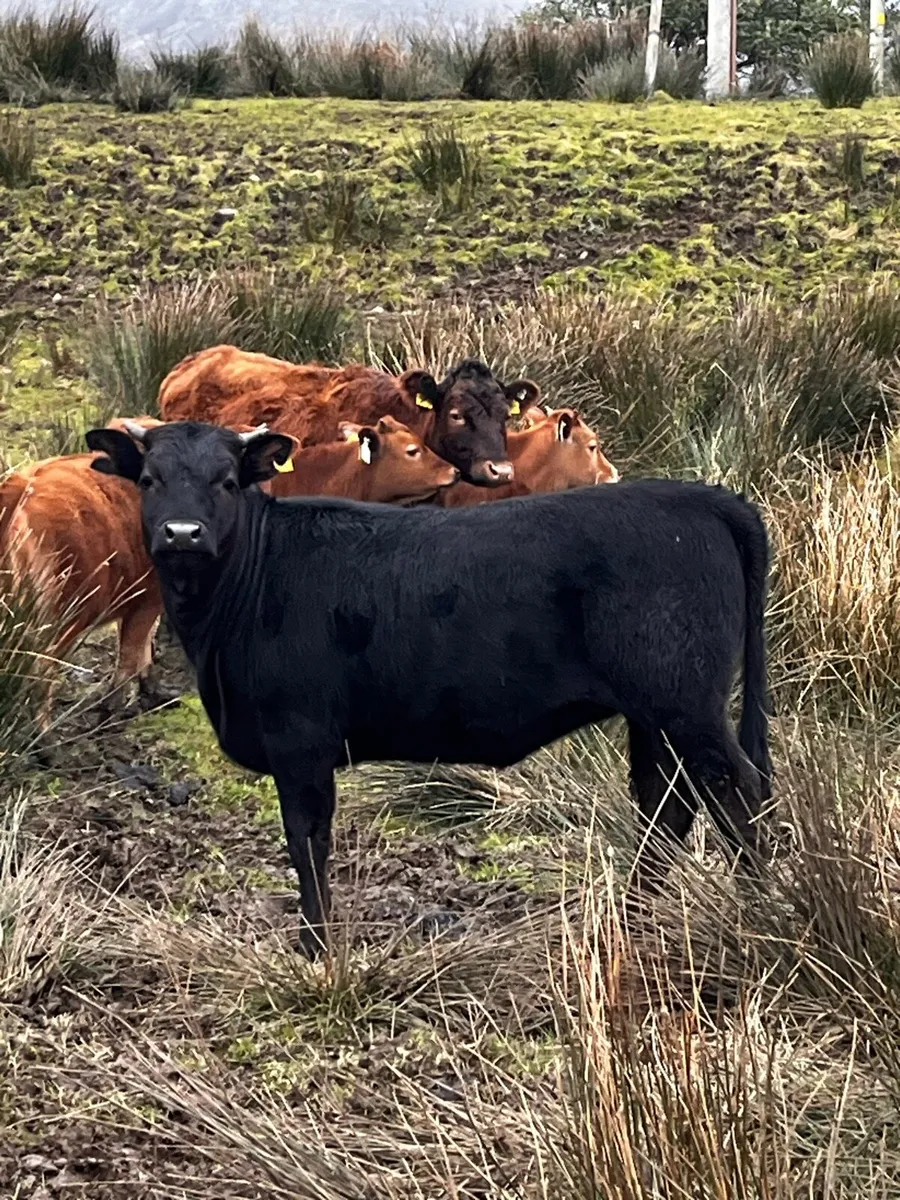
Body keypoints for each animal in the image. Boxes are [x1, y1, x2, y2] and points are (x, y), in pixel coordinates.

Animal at [86, 419, 773, 958]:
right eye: (149, 480)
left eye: (227, 481)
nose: (182, 533)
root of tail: (706, 499)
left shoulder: (299, 739)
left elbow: (307, 839)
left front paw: (315, 945)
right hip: (654, 713)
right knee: (666, 804)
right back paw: (633, 919)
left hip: (685, 703)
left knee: (738, 793)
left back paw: (760, 914)